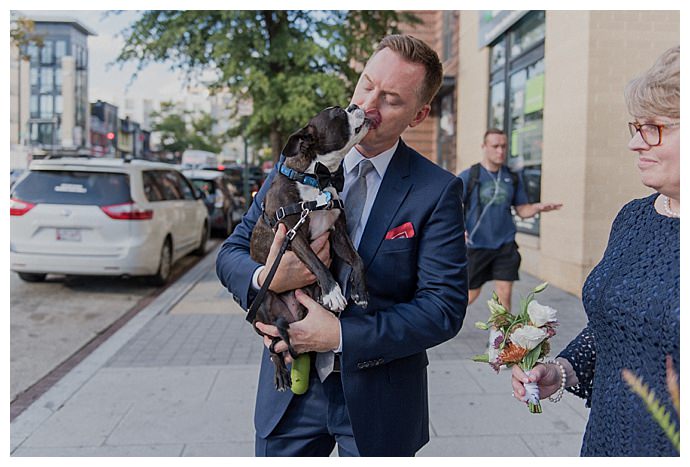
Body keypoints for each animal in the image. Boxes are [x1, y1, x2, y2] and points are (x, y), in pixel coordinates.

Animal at [249, 105, 378, 392]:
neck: (314, 178)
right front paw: (333, 292)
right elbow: (318, 264)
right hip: (263, 307)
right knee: (273, 347)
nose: (355, 106)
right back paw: (281, 374)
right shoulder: (294, 234)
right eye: (337, 113)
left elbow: (358, 259)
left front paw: (360, 291)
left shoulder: (338, 233)